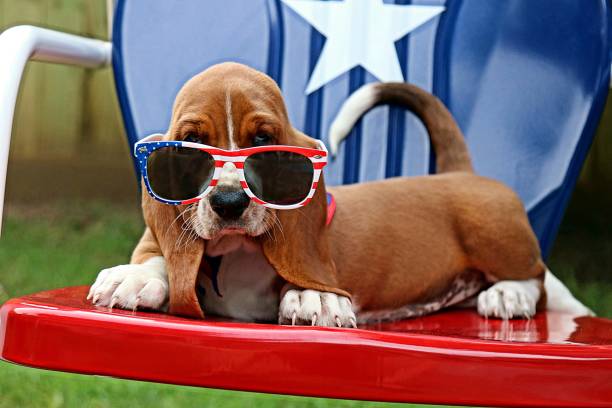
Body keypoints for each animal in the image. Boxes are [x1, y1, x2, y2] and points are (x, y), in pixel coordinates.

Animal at [87, 62, 592, 326]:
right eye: (191, 145)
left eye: (264, 142)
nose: (229, 203)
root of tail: (460, 173)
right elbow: (157, 255)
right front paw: (136, 276)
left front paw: (316, 296)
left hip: (494, 230)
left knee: (536, 277)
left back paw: (509, 294)